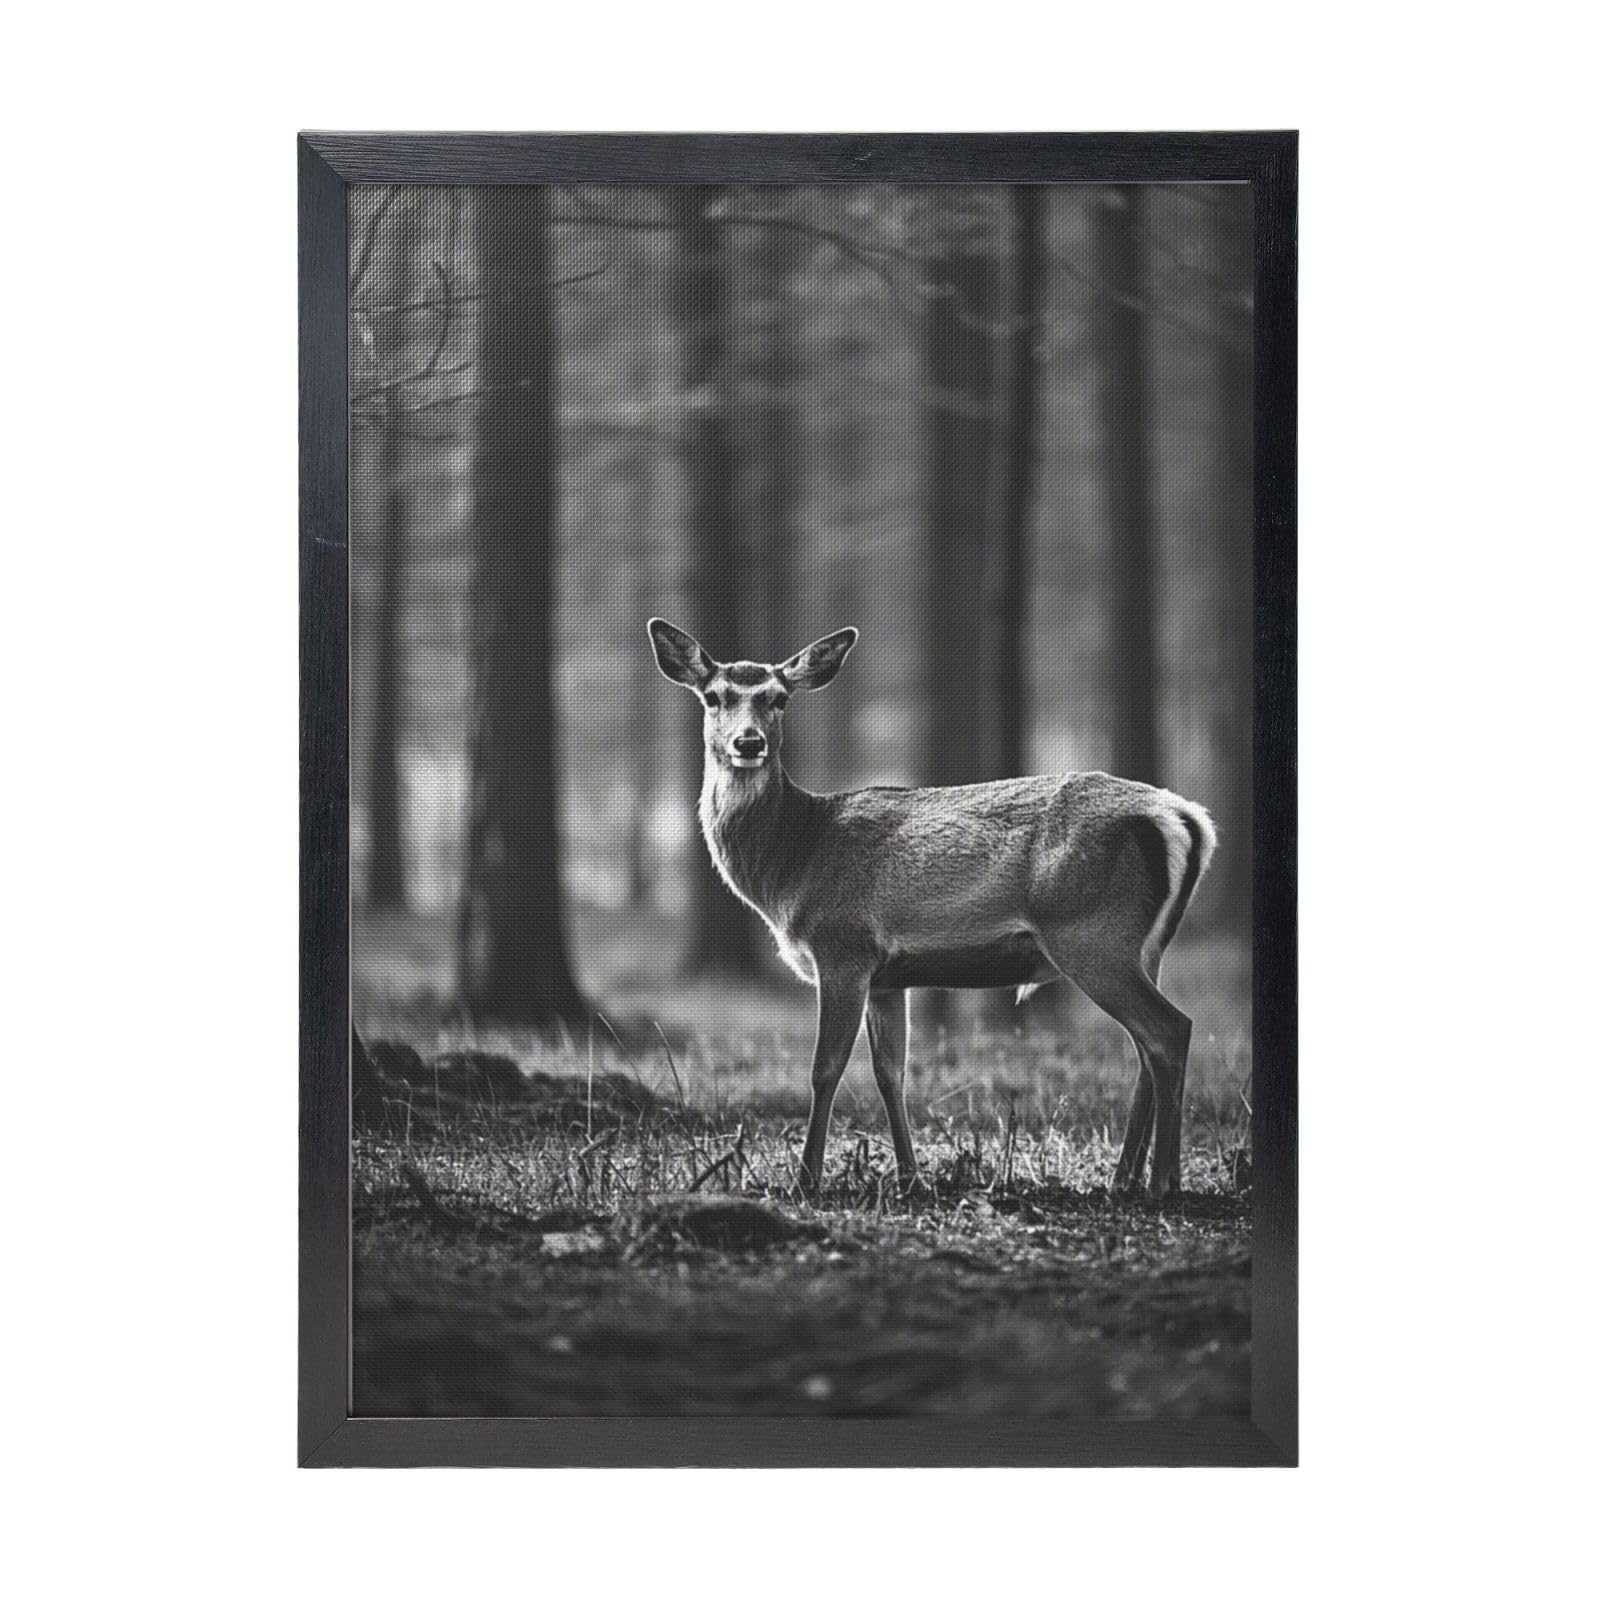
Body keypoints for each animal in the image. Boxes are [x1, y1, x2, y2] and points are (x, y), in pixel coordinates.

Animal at [648, 618, 1217, 1204]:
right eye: (714, 697)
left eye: (778, 699)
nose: (748, 742)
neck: (794, 863)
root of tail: (1184, 816)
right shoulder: (886, 978)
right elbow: (889, 1072)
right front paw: (910, 1176)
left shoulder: (843, 947)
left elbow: (825, 1068)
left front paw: (805, 1180)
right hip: (1144, 945)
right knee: (1146, 1047)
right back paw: (1125, 1177)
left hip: (1091, 934)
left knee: (1169, 1030)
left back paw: (1163, 1181)